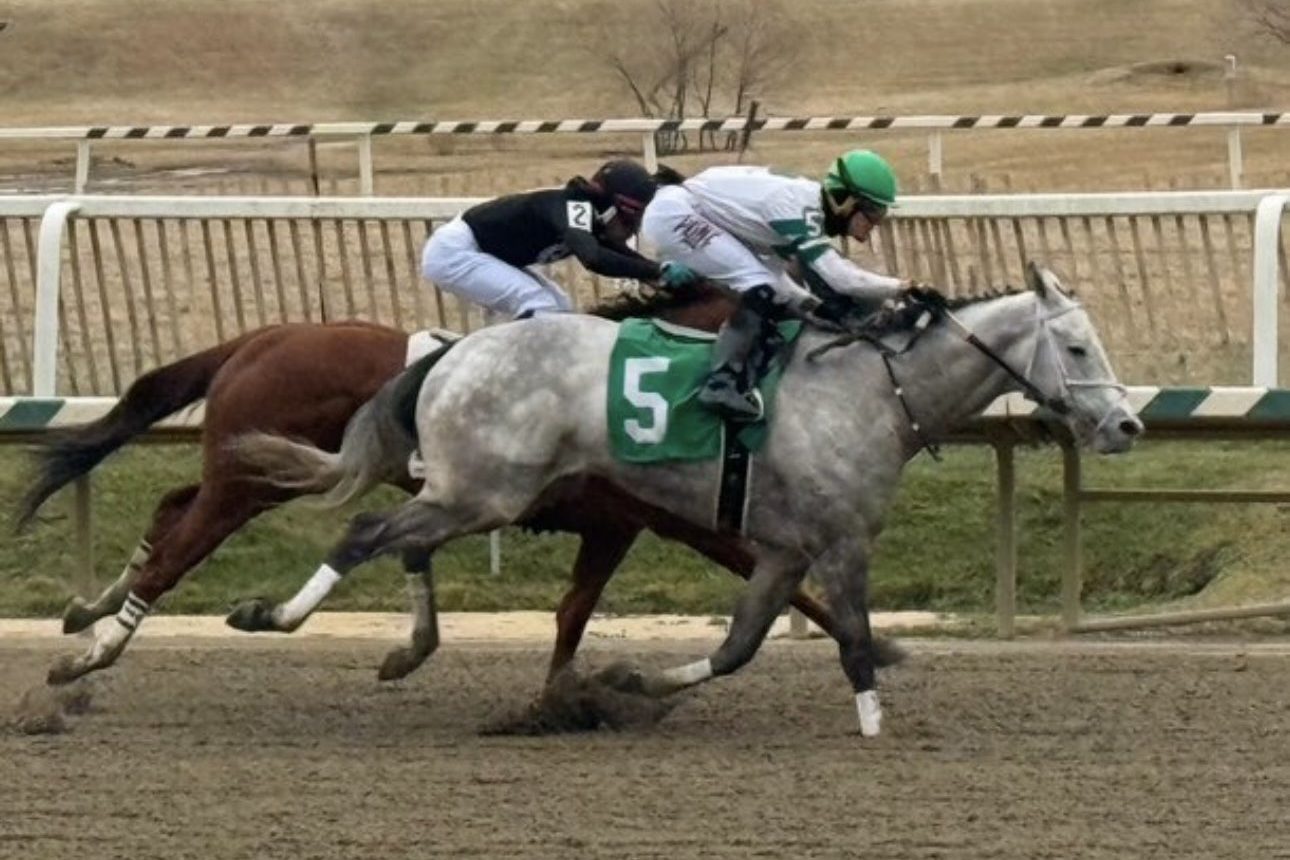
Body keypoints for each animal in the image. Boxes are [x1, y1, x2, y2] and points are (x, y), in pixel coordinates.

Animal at [15, 292, 861, 691]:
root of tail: (262, 337)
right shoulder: (650, 521)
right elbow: (773, 582)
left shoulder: (620, 523)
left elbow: (573, 609)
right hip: (246, 484)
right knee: (175, 555)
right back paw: (88, 657)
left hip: (253, 469)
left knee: (170, 507)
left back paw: (88, 612)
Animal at [232, 264, 1140, 742]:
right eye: (1075, 347)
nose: (1126, 423)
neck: (870, 391)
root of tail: (451, 355)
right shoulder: (842, 541)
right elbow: (851, 637)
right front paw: (875, 727)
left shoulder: (784, 551)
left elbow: (739, 645)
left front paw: (627, 683)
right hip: (487, 490)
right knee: (367, 530)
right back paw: (271, 615)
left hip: (473, 493)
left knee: (404, 541)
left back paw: (400, 648)